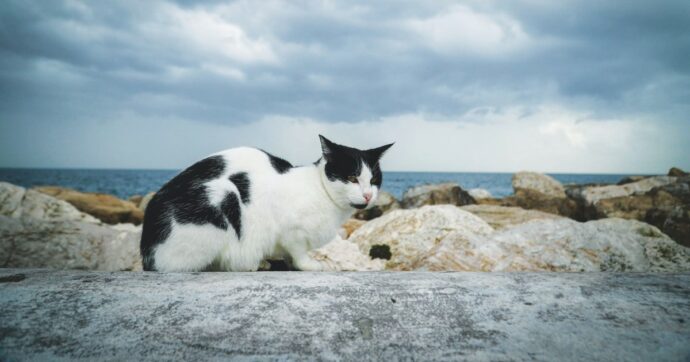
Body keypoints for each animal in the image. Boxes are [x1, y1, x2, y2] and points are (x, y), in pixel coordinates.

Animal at [140, 136, 392, 272]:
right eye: (352, 178)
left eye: (373, 180)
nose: (368, 195)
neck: (320, 189)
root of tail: (148, 250)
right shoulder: (292, 232)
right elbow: (298, 252)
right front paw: (309, 265)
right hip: (223, 197)